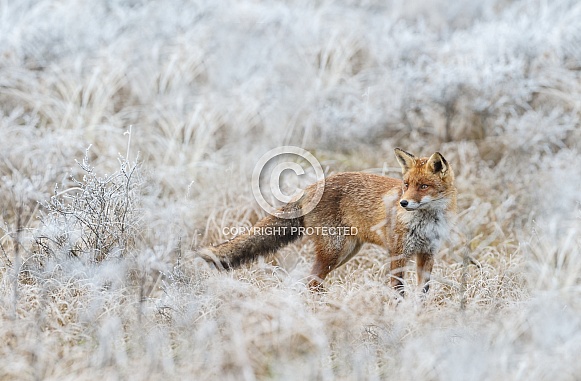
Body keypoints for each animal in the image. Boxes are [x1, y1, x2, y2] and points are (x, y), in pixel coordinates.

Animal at [198, 148, 454, 294]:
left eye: (423, 186)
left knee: (314, 281)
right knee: (312, 281)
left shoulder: (427, 254)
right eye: (406, 184)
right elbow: (398, 291)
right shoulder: (398, 253)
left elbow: (423, 291)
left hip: (346, 252)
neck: (426, 223)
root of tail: (310, 186)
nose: (403, 203)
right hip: (334, 250)